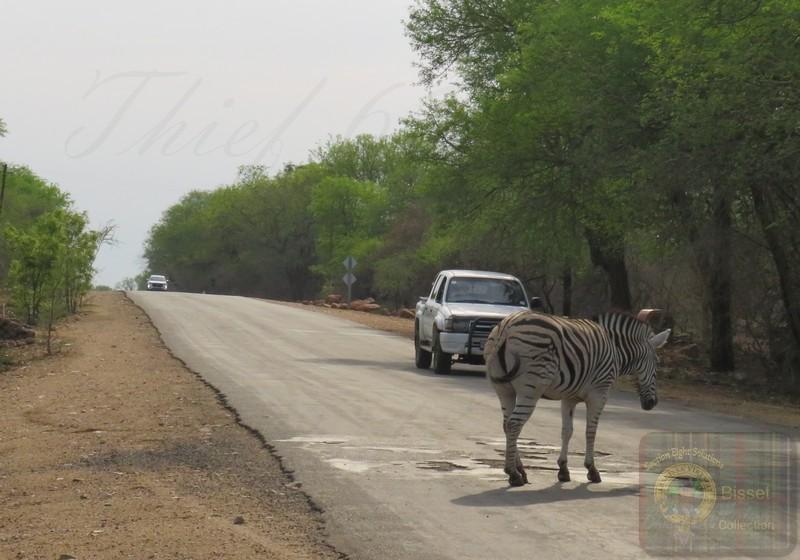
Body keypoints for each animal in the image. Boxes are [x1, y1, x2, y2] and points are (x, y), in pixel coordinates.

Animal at [483, 310, 671, 487]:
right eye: (657, 362)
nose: (652, 403)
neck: (615, 351)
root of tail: (507, 326)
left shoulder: (569, 397)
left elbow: (567, 431)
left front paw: (563, 470)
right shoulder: (599, 394)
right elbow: (591, 431)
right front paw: (592, 470)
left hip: (504, 390)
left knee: (507, 425)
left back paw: (521, 470)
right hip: (531, 388)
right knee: (514, 424)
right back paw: (513, 474)